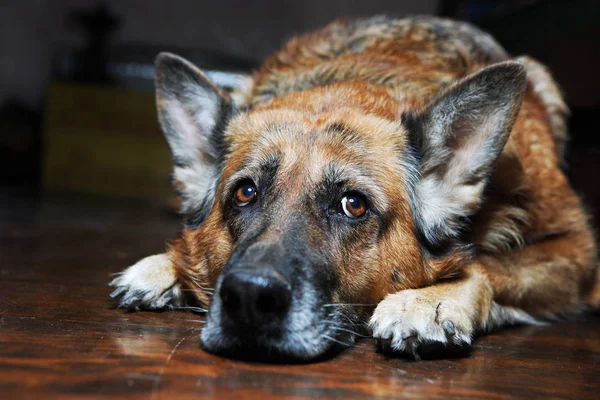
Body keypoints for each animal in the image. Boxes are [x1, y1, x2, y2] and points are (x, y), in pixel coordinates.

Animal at [109, 15, 600, 360]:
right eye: (245, 193)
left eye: (353, 205)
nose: (249, 296)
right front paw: (163, 267)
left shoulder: (576, 253)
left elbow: (488, 264)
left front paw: (429, 301)